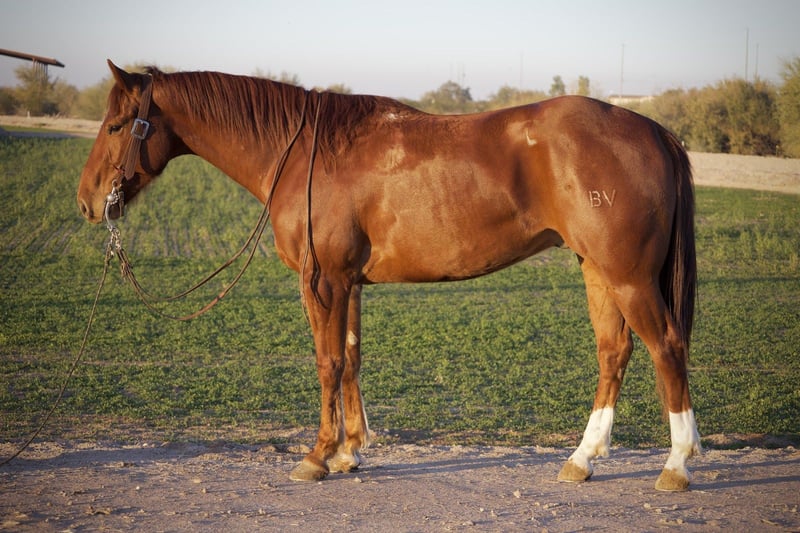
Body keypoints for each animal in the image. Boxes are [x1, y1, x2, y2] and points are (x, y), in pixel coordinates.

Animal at [78, 61, 700, 491]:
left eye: (116, 125)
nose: (87, 201)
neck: (301, 153)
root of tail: (653, 130)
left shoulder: (322, 281)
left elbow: (327, 363)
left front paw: (317, 456)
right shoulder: (348, 283)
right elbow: (351, 359)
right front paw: (350, 452)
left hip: (628, 277)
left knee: (666, 347)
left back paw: (676, 465)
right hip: (598, 271)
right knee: (613, 352)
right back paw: (582, 459)